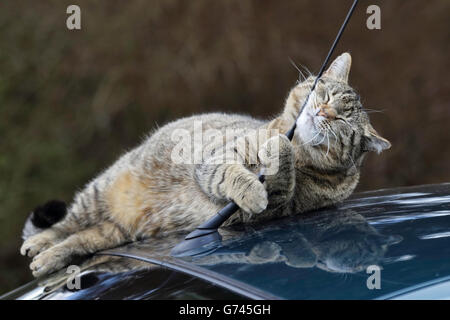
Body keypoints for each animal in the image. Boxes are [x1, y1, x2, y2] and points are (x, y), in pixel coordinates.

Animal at [20, 52, 390, 278]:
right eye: (326, 95)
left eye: (343, 121)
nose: (323, 113)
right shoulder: (214, 157)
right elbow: (235, 172)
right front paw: (271, 152)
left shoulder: (272, 208)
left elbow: (279, 183)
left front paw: (278, 155)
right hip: (98, 194)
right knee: (66, 225)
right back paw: (40, 246)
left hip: (114, 230)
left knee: (82, 239)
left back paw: (50, 257)